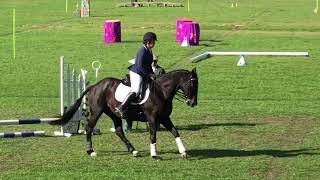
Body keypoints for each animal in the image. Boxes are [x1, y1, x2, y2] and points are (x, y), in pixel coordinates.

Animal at [50, 68, 198, 160]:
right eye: (193, 85)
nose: (192, 103)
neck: (161, 92)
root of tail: (95, 86)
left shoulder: (164, 118)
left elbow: (175, 131)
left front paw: (183, 152)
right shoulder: (152, 118)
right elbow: (153, 135)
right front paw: (154, 155)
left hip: (114, 114)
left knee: (119, 131)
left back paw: (133, 150)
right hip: (97, 112)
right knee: (89, 128)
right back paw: (90, 151)